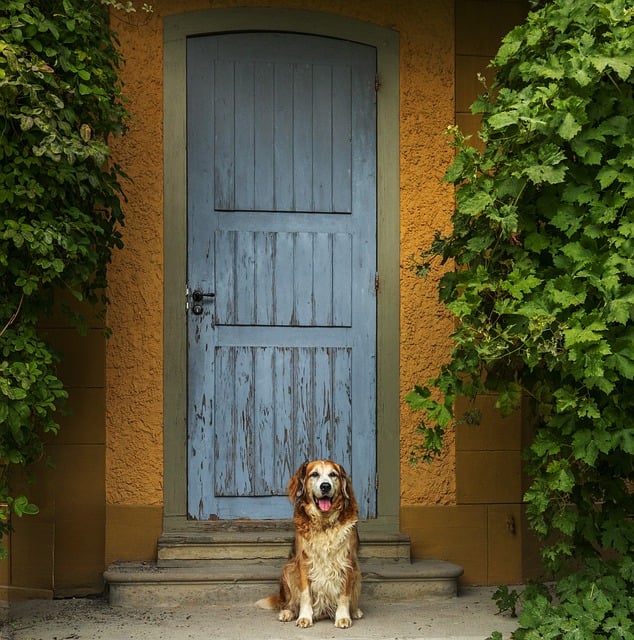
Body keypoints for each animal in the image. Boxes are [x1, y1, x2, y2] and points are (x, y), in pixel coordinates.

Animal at [254, 460, 362, 632]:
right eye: (314, 474)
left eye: (333, 474)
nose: (325, 486)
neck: (324, 523)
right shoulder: (304, 562)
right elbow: (305, 595)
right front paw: (304, 617)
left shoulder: (348, 562)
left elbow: (344, 595)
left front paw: (343, 617)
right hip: (289, 569)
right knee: (288, 602)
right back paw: (288, 612)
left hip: (358, 574)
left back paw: (355, 611)